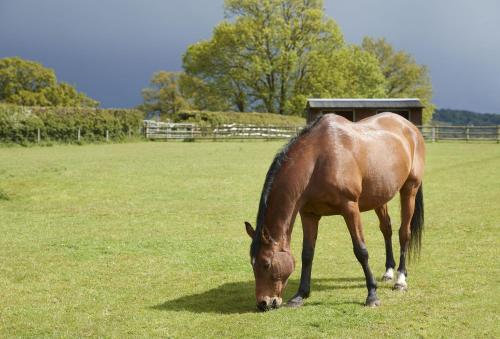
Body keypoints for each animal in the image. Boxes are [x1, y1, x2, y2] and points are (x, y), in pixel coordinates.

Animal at [244, 113, 424, 312]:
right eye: (252, 263)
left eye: (266, 264)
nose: (263, 303)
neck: (317, 160)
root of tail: (410, 128)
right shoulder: (309, 214)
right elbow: (307, 254)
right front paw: (300, 295)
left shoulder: (350, 208)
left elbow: (361, 251)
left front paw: (372, 295)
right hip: (380, 196)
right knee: (387, 229)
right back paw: (389, 272)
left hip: (410, 189)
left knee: (404, 233)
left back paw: (400, 280)